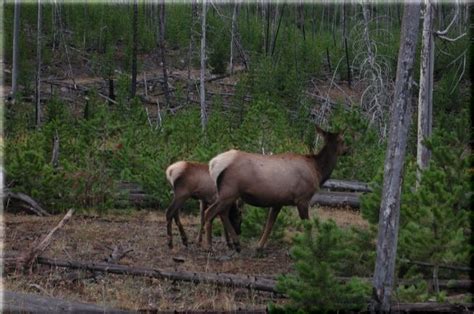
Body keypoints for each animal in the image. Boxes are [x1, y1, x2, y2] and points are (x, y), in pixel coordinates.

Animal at [204, 126, 348, 251]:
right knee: (210, 212)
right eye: (343, 140)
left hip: (227, 194)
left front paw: (259, 246)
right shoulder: (302, 199)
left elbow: (269, 224)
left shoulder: (278, 201)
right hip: (229, 192)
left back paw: (234, 244)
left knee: (222, 213)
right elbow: (307, 225)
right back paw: (211, 246)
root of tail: (213, 164)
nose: (348, 150)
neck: (318, 171)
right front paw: (310, 246)